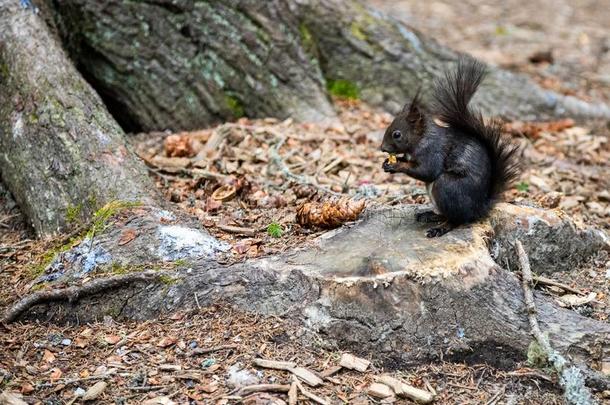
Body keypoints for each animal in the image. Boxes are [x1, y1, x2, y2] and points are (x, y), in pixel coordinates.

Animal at [380, 55, 516, 235]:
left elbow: (427, 171)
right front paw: (387, 163)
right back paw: (430, 215)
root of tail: (478, 208)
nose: (382, 148)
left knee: (456, 219)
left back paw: (440, 228)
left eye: (397, 134)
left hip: (447, 187)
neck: (422, 138)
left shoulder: (433, 151)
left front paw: (397, 166)